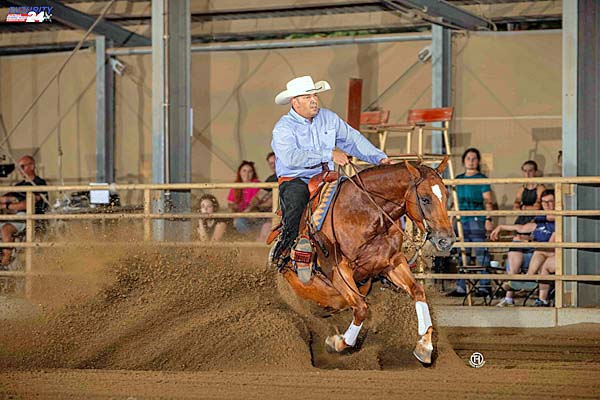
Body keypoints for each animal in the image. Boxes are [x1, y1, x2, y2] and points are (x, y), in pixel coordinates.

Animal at [282, 158, 454, 364]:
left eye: (446, 195)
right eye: (425, 199)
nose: (446, 240)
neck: (363, 215)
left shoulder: (392, 263)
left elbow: (418, 291)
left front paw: (425, 346)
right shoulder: (337, 268)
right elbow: (362, 308)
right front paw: (337, 342)